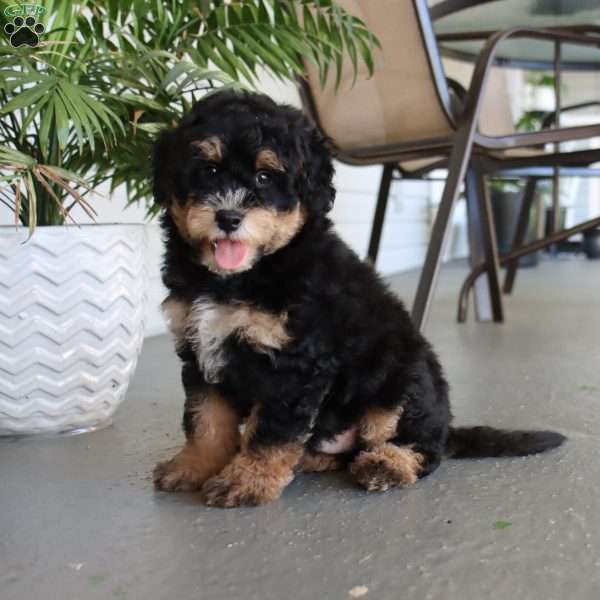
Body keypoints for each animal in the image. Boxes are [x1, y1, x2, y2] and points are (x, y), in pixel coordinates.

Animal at [152, 91, 564, 508]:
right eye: (209, 170)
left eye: (264, 176)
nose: (229, 217)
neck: (240, 276)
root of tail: (447, 425)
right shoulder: (198, 347)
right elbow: (205, 417)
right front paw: (194, 465)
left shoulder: (294, 363)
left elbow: (270, 429)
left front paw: (246, 480)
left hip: (403, 379)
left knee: (420, 446)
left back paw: (386, 465)